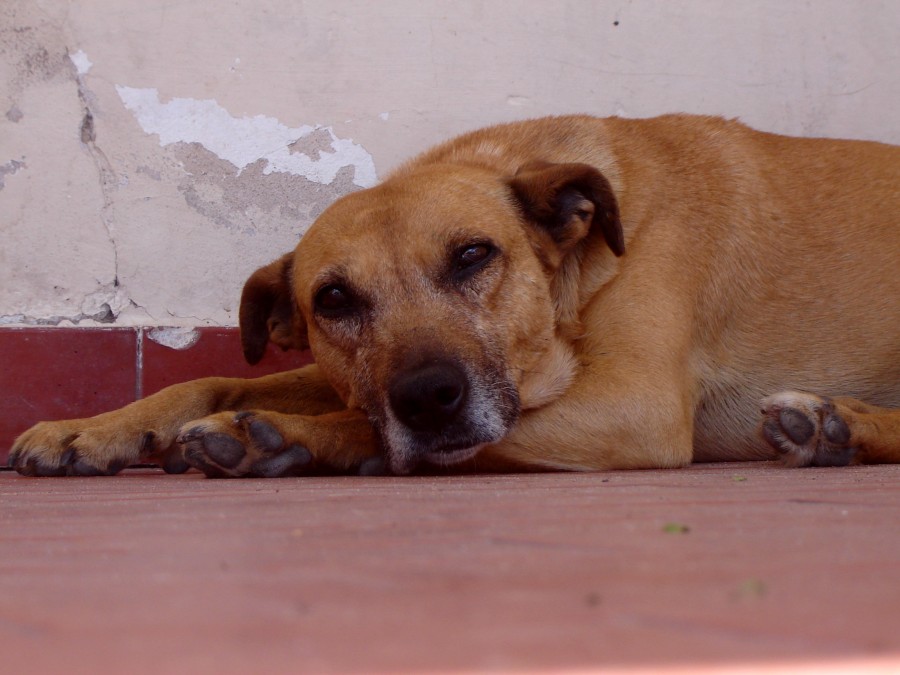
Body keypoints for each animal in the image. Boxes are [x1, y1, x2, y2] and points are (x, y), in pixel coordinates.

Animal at [8, 113, 900, 478]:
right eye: (334, 300)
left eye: (475, 255)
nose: (427, 395)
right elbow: (210, 377)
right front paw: (92, 429)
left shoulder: (632, 405)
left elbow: (371, 425)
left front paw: (281, 437)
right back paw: (834, 427)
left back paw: (836, 422)